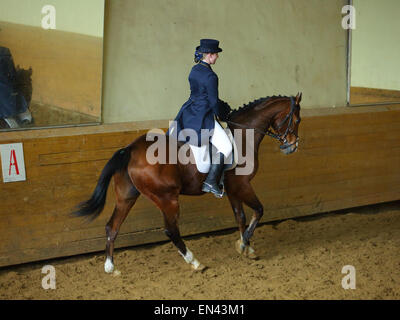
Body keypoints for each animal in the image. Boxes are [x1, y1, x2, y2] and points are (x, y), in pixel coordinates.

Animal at [72, 92, 304, 272]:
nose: (292, 147)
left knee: (112, 227)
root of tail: (130, 149)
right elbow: (259, 211)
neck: (243, 135)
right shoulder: (243, 185)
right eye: (297, 120)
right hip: (167, 198)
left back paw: (110, 267)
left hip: (127, 196)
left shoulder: (232, 189)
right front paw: (243, 244)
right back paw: (195, 262)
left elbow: (240, 216)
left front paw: (247, 247)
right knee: (170, 230)